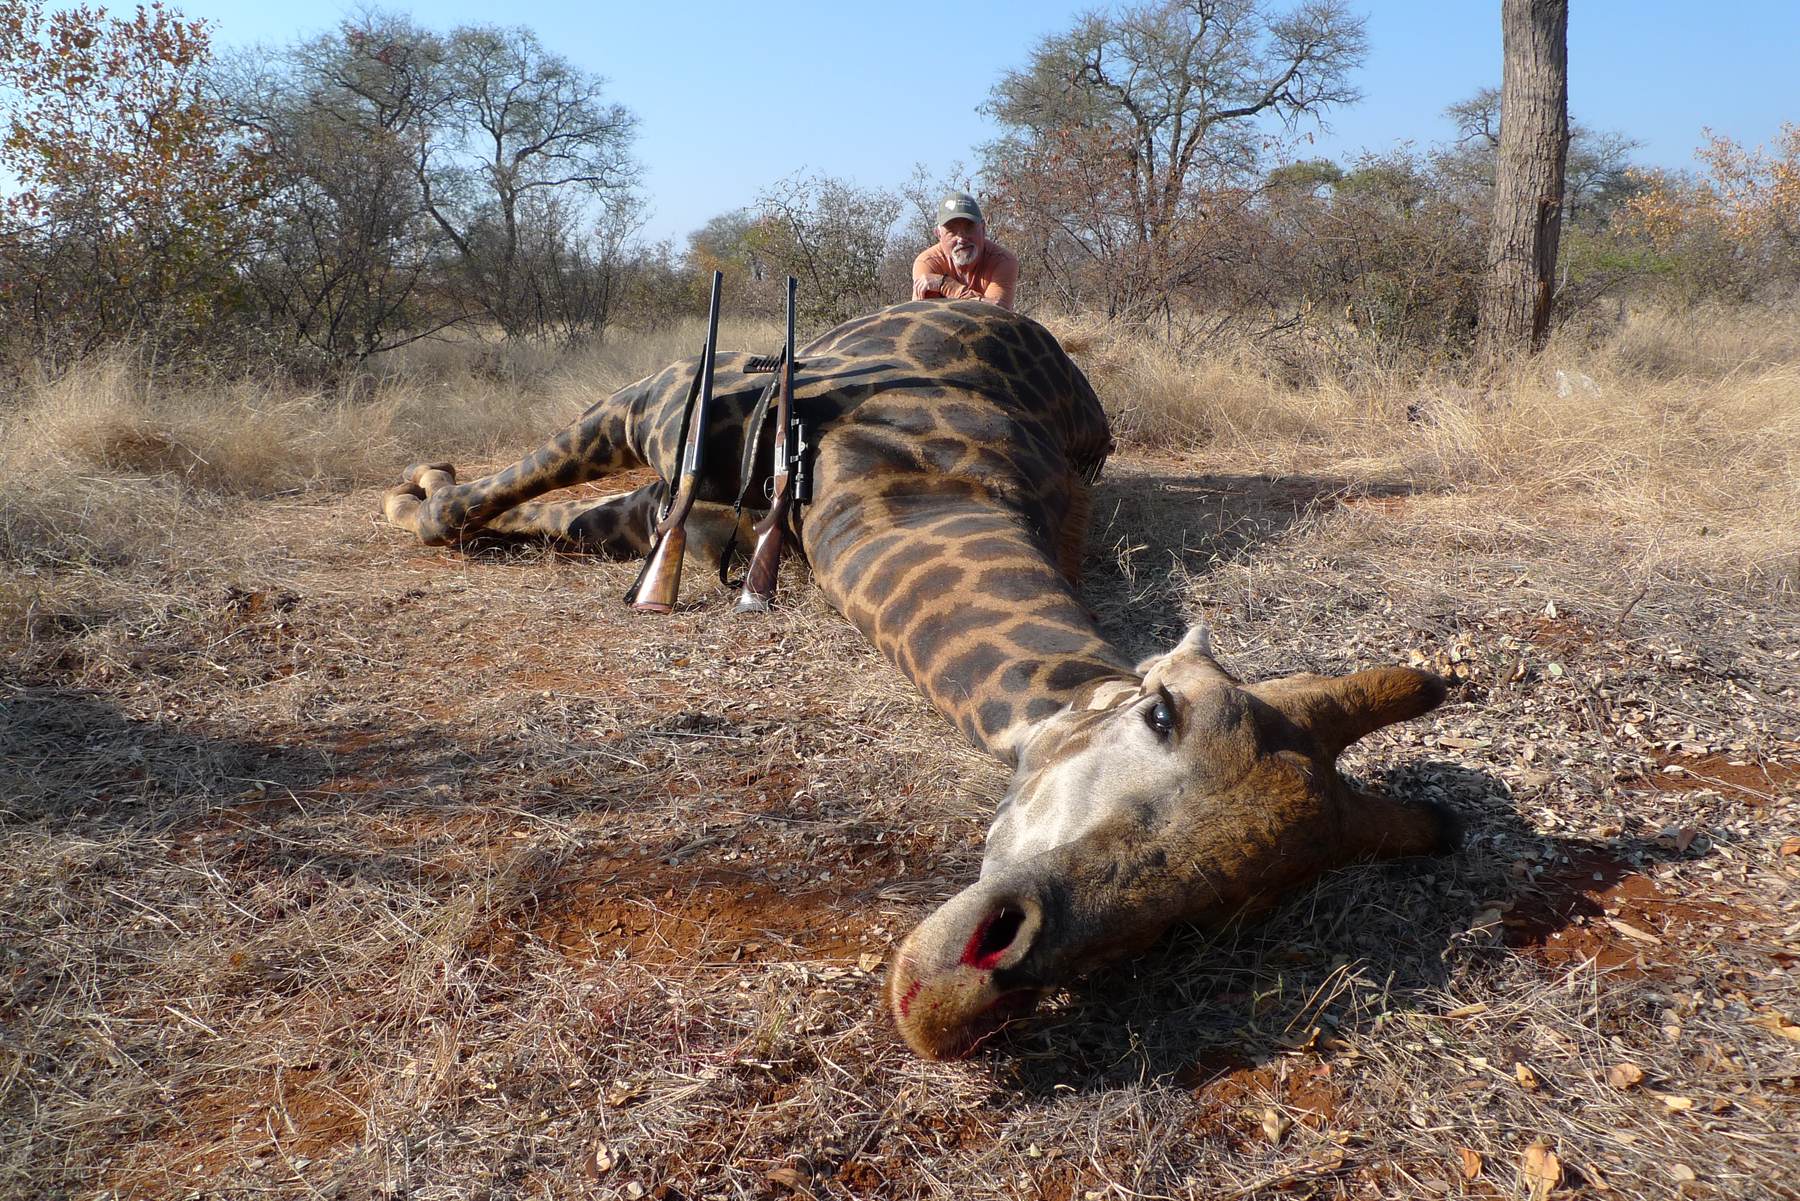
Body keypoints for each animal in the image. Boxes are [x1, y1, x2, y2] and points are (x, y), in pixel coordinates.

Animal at [382, 299, 1458, 1060]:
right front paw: (418, 493)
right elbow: (474, 509)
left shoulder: (676, 487)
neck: (911, 467)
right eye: (1160, 713)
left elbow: (545, 519)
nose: (964, 992)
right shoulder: (655, 398)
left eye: (1223, 910)